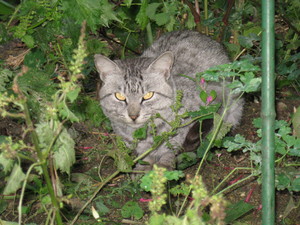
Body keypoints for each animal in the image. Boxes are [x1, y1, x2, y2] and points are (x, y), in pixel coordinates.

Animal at [94, 29, 244, 171]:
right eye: (119, 96)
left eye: (148, 95)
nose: (133, 116)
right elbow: (145, 155)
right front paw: (144, 168)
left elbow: (169, 148)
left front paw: (163, 167)